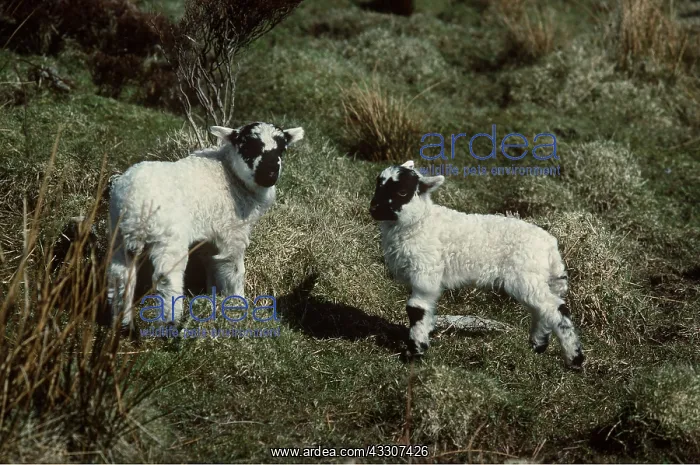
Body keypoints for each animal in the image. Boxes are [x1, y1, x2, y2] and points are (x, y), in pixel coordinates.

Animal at [107, 122, 304, 328]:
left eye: (282, 149)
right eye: (248, 146)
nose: (270, 174)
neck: (229, 173)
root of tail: (133, 206)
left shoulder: (209, 236)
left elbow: (212, 264)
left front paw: (213, 295)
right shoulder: (233, 233)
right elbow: (236, 270)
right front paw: (239, 303)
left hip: (118, 236)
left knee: (120, 276)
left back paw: (123, 321)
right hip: (168, 239)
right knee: (166, 278)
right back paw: (171, 320)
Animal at [369, 160, 585, 368]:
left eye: (402, 192)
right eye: (378, 184)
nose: (374, 209)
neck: (420, 221)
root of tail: (550, 245)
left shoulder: (425, 273)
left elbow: (416, 309)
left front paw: (414, 353)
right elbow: (427, 310)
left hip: (526, 276)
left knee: (556, 309)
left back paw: (574, 359)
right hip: (534, 279)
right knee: (542, 311)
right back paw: (537, 346)